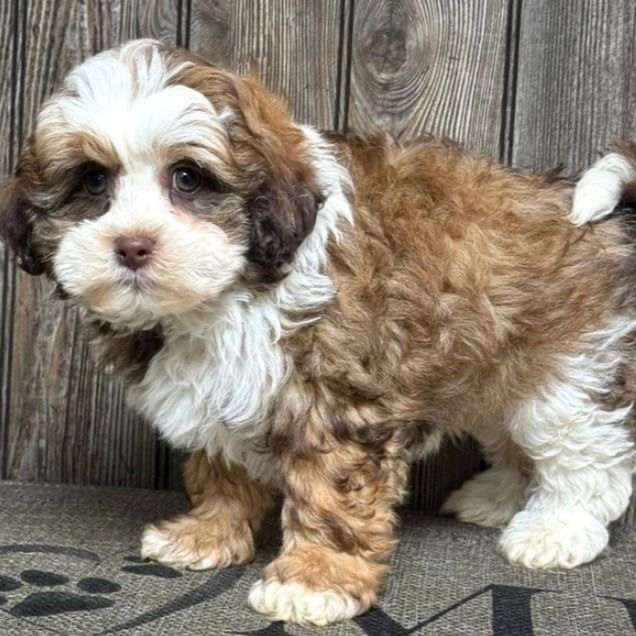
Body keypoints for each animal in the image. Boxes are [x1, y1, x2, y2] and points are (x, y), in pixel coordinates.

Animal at [1, 39, 636, 628]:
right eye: (92, 181)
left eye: (187, 177)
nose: (132, 245)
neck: (227, 293)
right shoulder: (221, 390)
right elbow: (221, 466)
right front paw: (207, 535)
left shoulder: (338, 401)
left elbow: (333, 490)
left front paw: (314, 579)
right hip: (492, 360)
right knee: (508, 432)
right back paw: (497, 498)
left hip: (571, 368)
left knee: (586, 459)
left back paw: (555, 529)